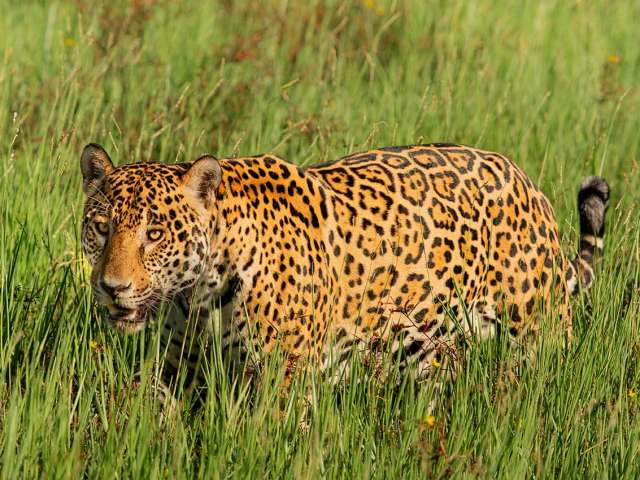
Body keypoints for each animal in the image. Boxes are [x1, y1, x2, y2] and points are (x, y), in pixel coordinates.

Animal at [80, 142, 609, 399]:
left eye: (154, 234)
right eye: (102, 228)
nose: (112, 287)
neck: (200, 293)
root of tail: (526, 181)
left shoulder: (285, 375)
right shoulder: (180, 366)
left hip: (536, 333)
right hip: (424, 346)